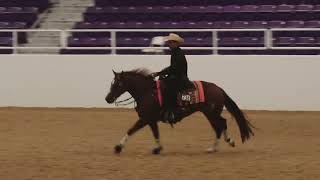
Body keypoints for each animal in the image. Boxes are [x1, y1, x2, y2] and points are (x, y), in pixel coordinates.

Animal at [106, 69, 254, 155]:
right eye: (112, 83)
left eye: (118, 84)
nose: (108, 98)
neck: (148, 92)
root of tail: (218, 88)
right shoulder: (151, 120)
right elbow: (155, 133)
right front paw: (158, 148)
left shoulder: (145, 119)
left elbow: (131, 130)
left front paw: (118, 147)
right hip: (209, 113)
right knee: (219, 126)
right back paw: (215, 147)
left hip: (212, 113)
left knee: (221, 124)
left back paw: (224, 143)